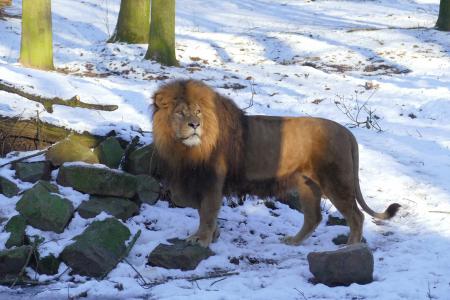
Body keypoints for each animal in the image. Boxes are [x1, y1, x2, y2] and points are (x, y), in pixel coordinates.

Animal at [152, 78, 400, 247]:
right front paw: (213, 235)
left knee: (356, 216)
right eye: (180, 113)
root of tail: (347, 132)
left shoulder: (212, 181)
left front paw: (202, 239)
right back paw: (294, 241)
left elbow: (207, 212)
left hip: (336, 182)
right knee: (314, 217)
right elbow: (201, 210)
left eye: (198, 112)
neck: (185, 149)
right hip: (307, 185)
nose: (194, 125)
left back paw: (349, 248)